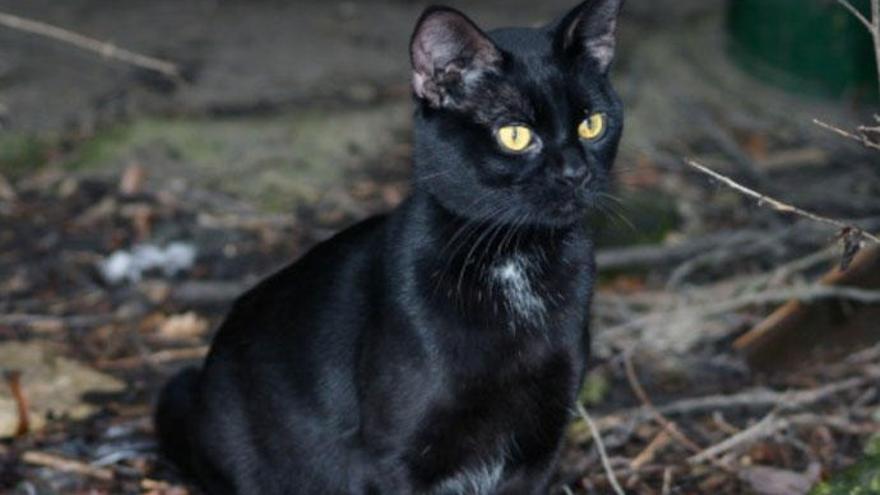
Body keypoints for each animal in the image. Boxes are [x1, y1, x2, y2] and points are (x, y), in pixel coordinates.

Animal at [158, 1, 624, 494]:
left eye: (592, 124)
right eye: (514, 135)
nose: (576, 172)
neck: (516, 260)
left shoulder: (540, 446)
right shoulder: (392, 458)